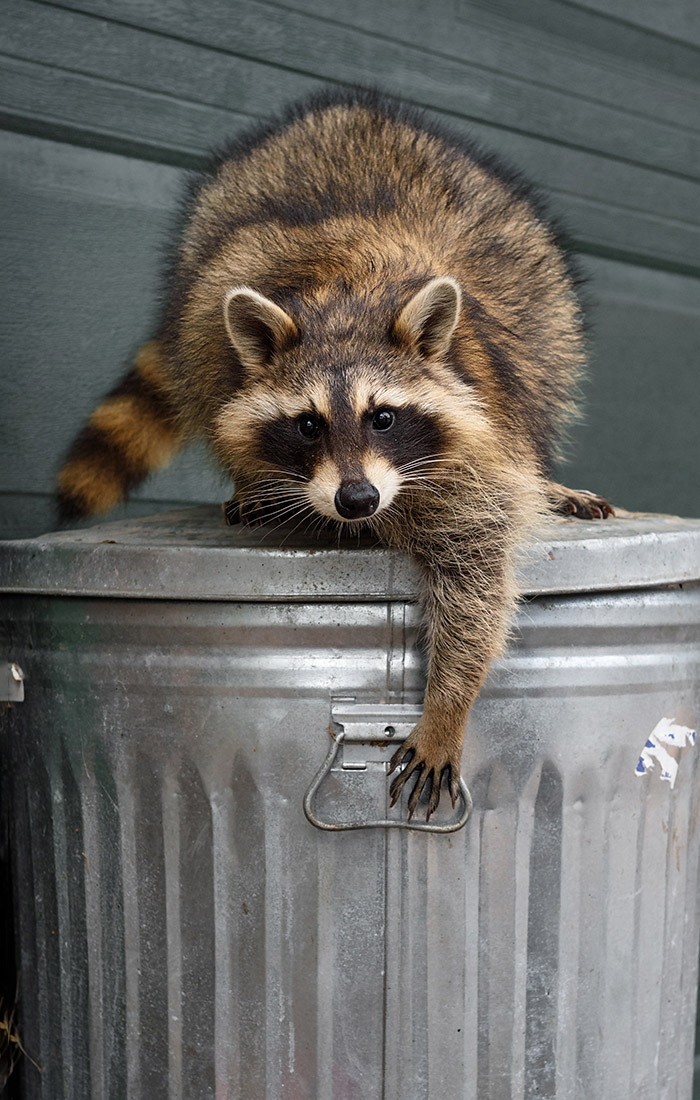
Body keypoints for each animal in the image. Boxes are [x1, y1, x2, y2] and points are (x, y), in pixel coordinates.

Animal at [57, 88, 611, 818]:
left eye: (384, 418)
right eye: (307, 426)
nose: (357, 500)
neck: (344, 296)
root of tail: (355, 111)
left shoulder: (478, 446)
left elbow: (476, 581)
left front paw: (448, 704)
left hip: (536, 291)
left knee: (546, 361)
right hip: (205, 286)